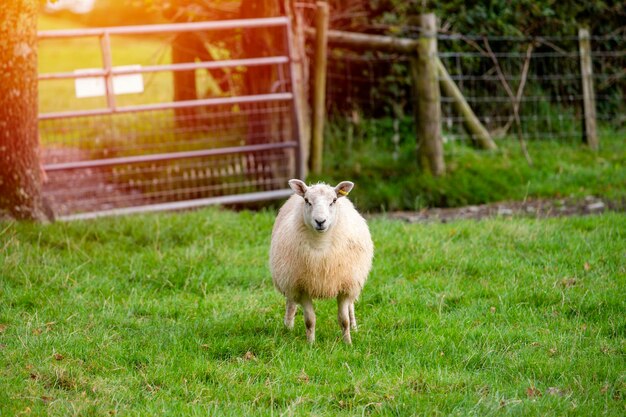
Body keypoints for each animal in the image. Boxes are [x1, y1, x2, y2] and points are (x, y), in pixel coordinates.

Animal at [266, 177, 370, 342]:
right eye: (307, 201)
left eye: (333, 200)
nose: (320, 221)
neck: (321, 244)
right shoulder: (302, 287)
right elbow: (310, 320)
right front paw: (310, 344)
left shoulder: (345, 285)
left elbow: (344, 319)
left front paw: (348, 342)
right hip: (288, 276)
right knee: (291, 303)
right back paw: (288, 327)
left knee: (351, 306)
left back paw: (355, 328)